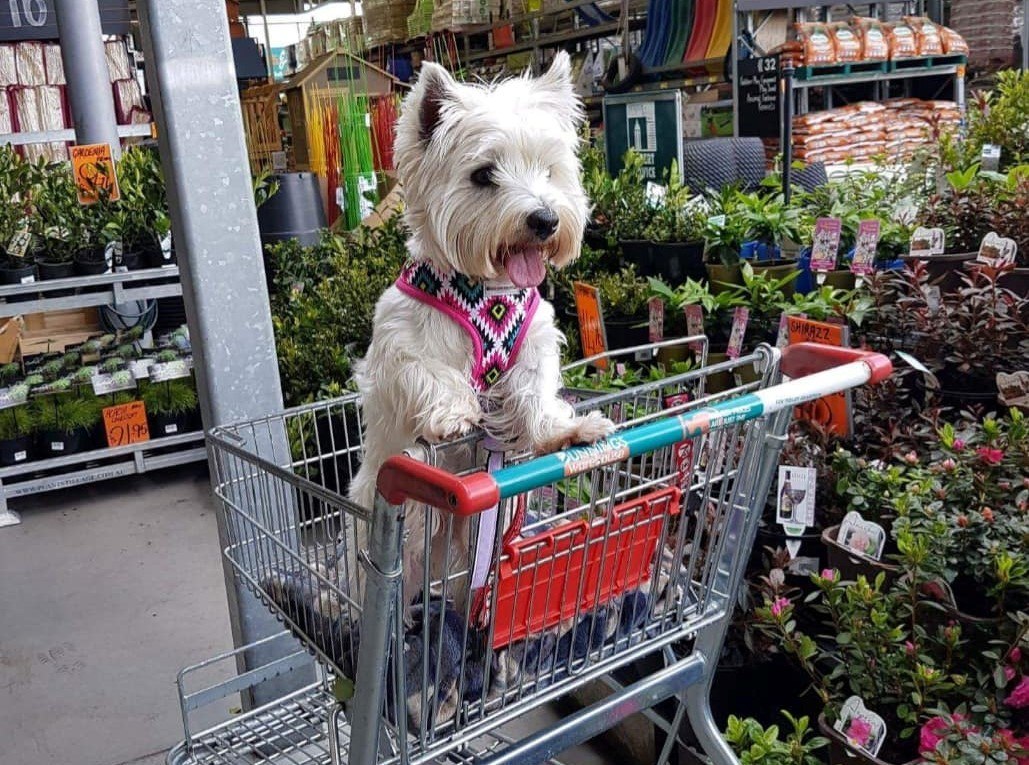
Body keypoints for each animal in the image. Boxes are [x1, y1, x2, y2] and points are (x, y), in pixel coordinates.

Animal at [349, 50, 613, 613]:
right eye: (483, 174)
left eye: (548, 169)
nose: (544, 219)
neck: (486, 291)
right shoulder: (394, 349)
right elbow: (425, 372)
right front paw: (454, 414)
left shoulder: (534, 343)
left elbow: (534, 393)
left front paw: (568, 430)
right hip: (389, 540)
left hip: (475, 542)